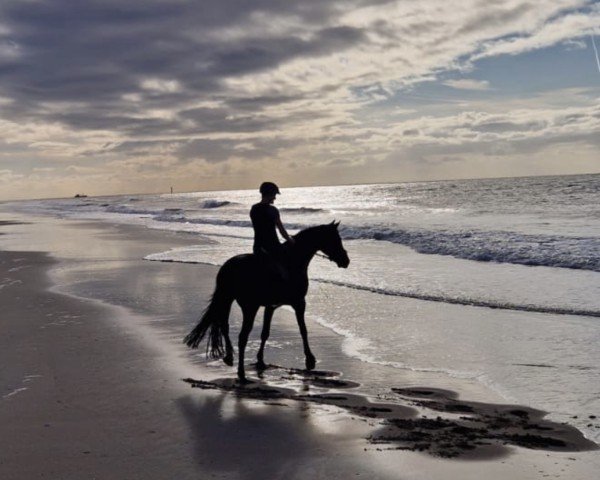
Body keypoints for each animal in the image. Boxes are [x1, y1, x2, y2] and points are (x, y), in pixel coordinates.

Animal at [185, 221, 350, 382]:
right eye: (336, 239)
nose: (346, 261)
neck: (293, 260)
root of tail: (228, 267)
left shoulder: (270, 307)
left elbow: (265, 333)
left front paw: (260, 360)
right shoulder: (299, 303)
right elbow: (303, 330)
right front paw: (310, 360)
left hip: (227, 299)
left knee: (225, 327)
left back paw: (229, 357)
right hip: (249, 307)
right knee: (242, 336)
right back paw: (241, 372)